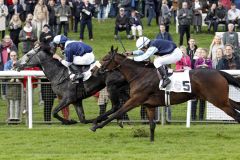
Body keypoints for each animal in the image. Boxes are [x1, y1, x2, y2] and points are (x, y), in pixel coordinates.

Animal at [91, 47, 240, 141]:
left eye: (105, 58)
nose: (94, 71)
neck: (139, 75)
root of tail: (218, 72)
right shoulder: (149, 105)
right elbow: (152, 125)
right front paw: (151, 141)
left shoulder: (135, 100)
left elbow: (117, 112)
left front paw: (96, 126)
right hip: (221, 99)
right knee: (236, 105)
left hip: (219, 101)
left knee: (236, 115)